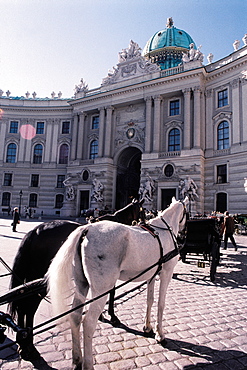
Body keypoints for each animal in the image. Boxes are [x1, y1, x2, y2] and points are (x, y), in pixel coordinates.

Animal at [4, 199, 145, 358]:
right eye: (143, 210)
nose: (144, 222)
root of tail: (35, 231)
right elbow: (111, 293)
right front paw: (112, 316)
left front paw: (102, 315)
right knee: (29, 306)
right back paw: (28, 344)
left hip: (30, 277)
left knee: (22, 304)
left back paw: (22, 342)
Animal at [47, 195, 188, 368]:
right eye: (187, 214)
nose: (183, 235)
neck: (164, 230)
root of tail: (86, 229)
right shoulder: (167, 272)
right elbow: (161, 303)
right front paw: (160, 334)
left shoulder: (152, 274)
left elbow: (149, 300)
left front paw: (147, 327)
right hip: (101, 289)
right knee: (89, 322)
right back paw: (88, 364)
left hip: (81, 284)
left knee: (75, 316)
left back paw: (77, 359)